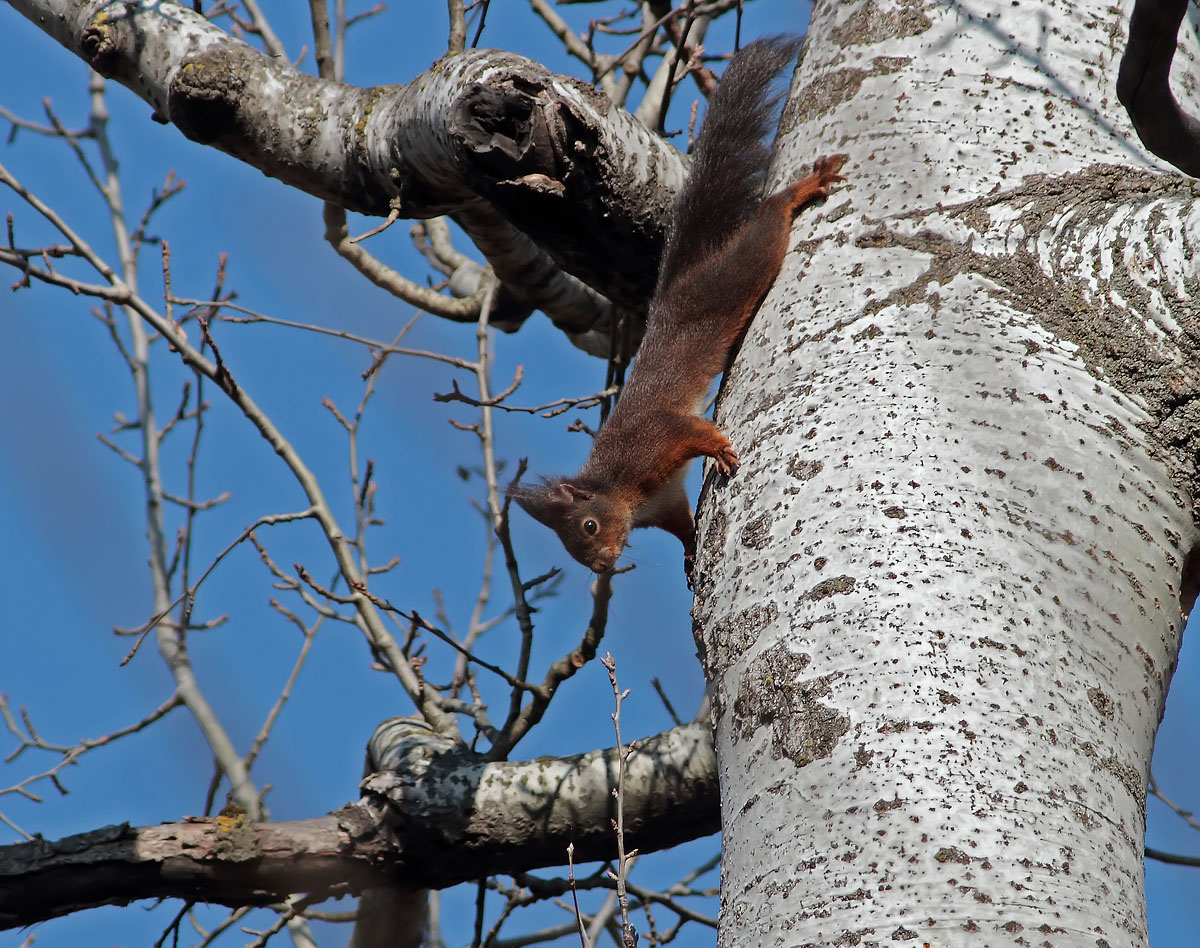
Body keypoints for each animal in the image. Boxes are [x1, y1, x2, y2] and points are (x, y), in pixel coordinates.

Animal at [510, 36, 846, 582]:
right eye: (572, 547)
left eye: (587, 527)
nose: (600, 567)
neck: (624, 489)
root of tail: (670, 292)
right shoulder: (663, 502)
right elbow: (681, 524)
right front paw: (690, 553)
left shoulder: (656, 440)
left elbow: (693, 430)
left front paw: (720, 448)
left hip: (732, 277)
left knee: (766, 226)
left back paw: (801, 190)